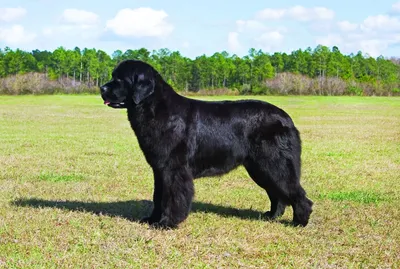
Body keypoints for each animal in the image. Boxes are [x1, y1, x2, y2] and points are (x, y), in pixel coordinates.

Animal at [100, 59, 312, 227]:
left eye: (119, 80)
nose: (102, 88)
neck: (155, 108)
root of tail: (286, 118)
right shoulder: (159, 169)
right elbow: (158, 196)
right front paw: (152, 219)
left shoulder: (174, 169)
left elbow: (172, 197)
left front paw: (167, 223)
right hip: (260, 168)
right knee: (277, 193)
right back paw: (272, 216)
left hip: (274, 164)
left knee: (296, 193)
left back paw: (299, 221)